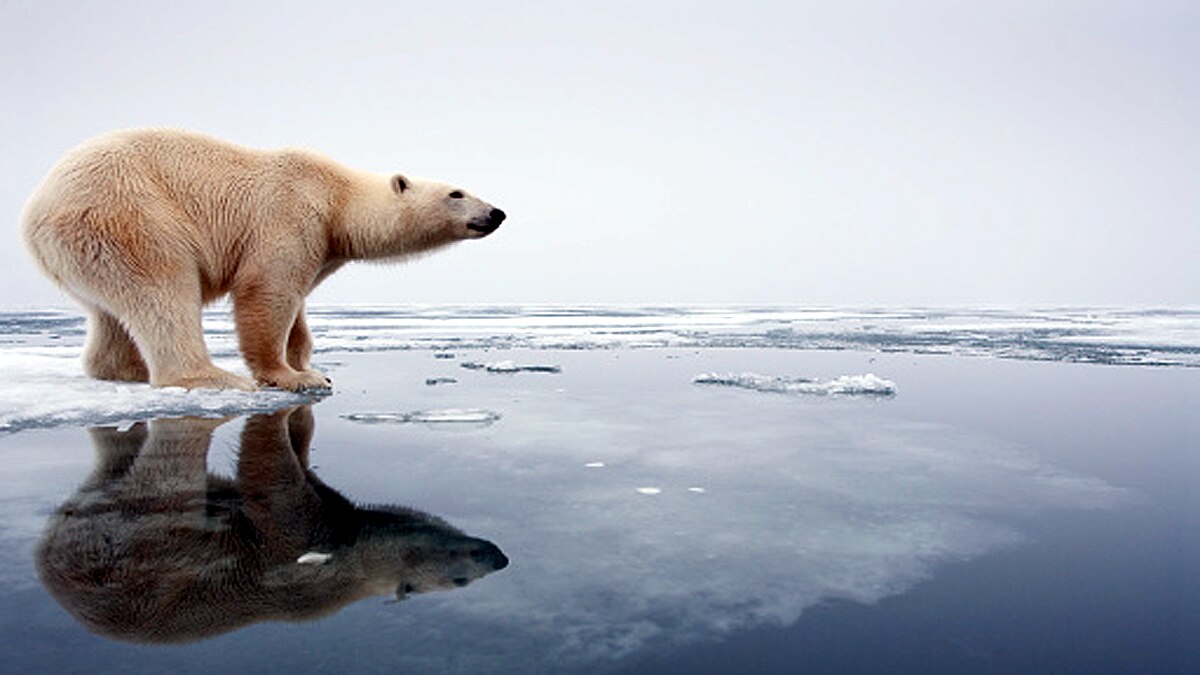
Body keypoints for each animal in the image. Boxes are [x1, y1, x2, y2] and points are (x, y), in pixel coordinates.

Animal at [21, 129, 505, 391]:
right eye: (456, 192)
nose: (496, 213)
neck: (337, 196)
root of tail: (33, 214)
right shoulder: (291, 213)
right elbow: (267, 291)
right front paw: (293, 377)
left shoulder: (321, 246)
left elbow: (299, 307)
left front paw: (308, 363)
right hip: (128, 214)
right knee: (163, 288)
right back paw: (216, 377)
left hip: (86, 248)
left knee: (110, 312)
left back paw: (127, 370)